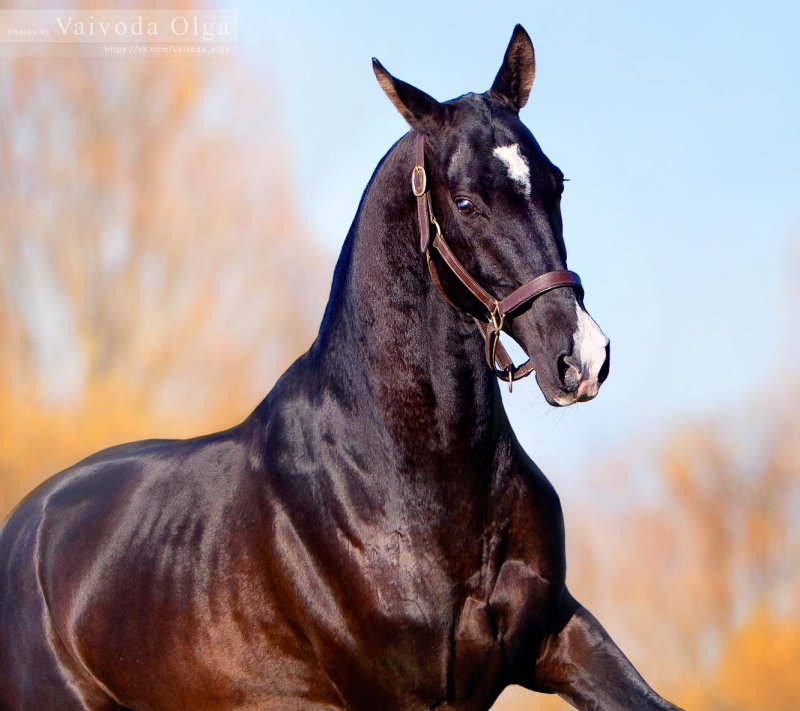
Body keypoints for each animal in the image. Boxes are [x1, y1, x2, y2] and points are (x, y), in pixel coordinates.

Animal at [0, 25, 680, 711]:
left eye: (555, 183)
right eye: (465, 202)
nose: (580, 356)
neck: (408, 476)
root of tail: (27, 528)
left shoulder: (557, 636)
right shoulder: (402, 695)